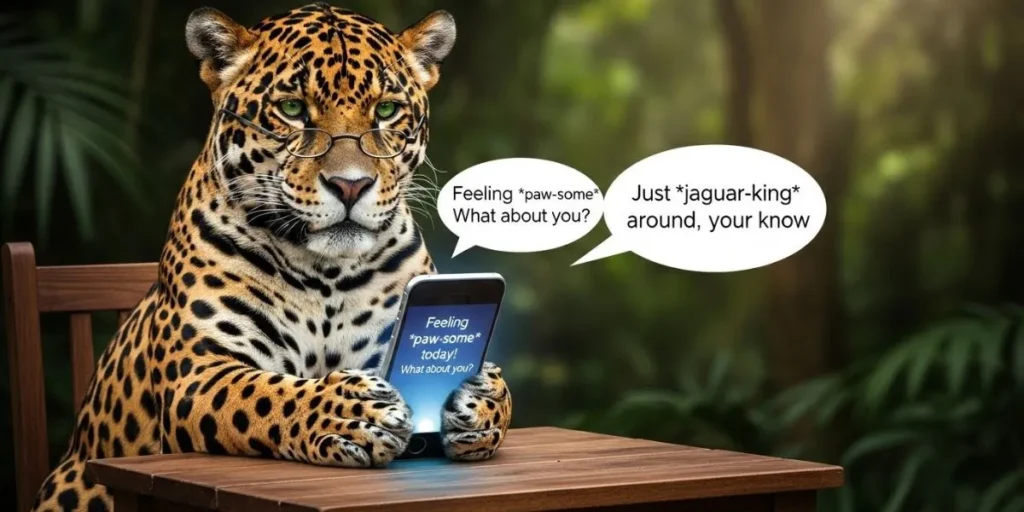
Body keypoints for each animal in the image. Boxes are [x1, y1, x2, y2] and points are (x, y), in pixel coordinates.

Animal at [30, 4, 512, 511]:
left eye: (386, 110)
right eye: (293, 109)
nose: (351, 185)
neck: (327, 272)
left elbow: (501, 390)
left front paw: (478, 401)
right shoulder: (197, 372)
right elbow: (269, 394)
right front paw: (352, 414)